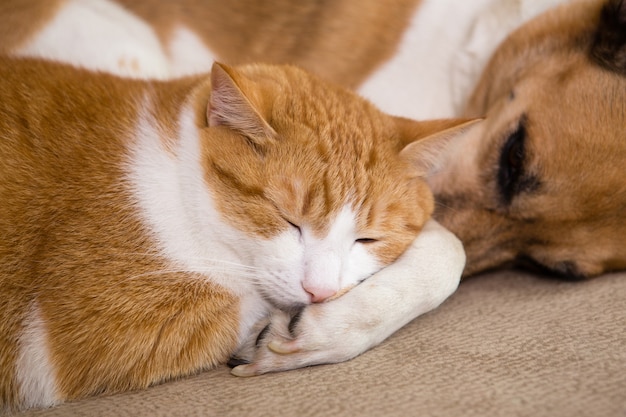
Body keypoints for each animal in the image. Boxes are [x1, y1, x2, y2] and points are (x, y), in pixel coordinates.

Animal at [0, 57, 472, 412]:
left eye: (368, 239)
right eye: (287, 219)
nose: (318, 293)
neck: (176, 177)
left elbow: (451, 247)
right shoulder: (77, 333)